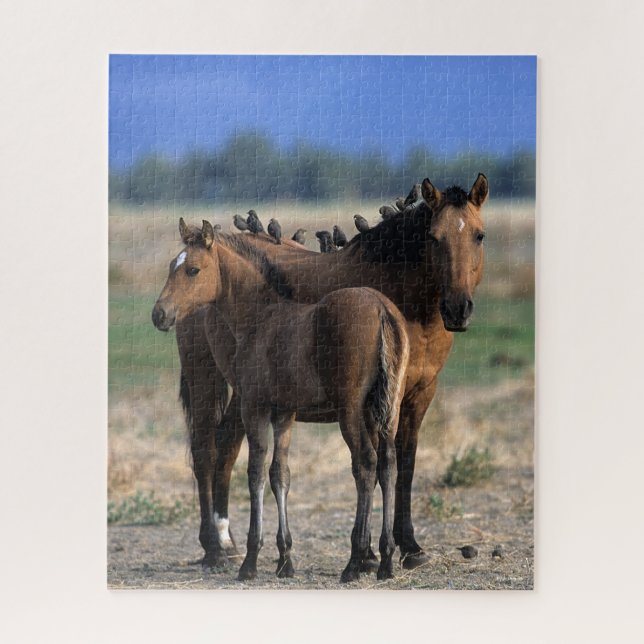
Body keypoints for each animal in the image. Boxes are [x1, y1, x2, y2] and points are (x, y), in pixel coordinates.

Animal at [152, 220, 410, 582]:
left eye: (193, 270)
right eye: (170, 267)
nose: (159, 314)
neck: (260, 316)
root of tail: (381, 309)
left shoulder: (254, 408)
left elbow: (256, 473)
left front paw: (250, 560)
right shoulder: (284, 414)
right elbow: (280, 474)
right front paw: (285, 558)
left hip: (350, 410)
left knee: (365, 464)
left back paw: (356, 560)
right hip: (388, 408)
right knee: (388, 464)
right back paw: (385, 560)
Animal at [174, 174, 489, 571]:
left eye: (479, 235)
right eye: (434, 237)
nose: (458, 308)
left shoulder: (418, 394)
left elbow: (404, 463)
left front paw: (408, 546)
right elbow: (373, 463)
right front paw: (371, 551)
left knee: (227, 445)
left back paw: (226, 540)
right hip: (205, 375)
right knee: (205, 450)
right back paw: (214, 546)